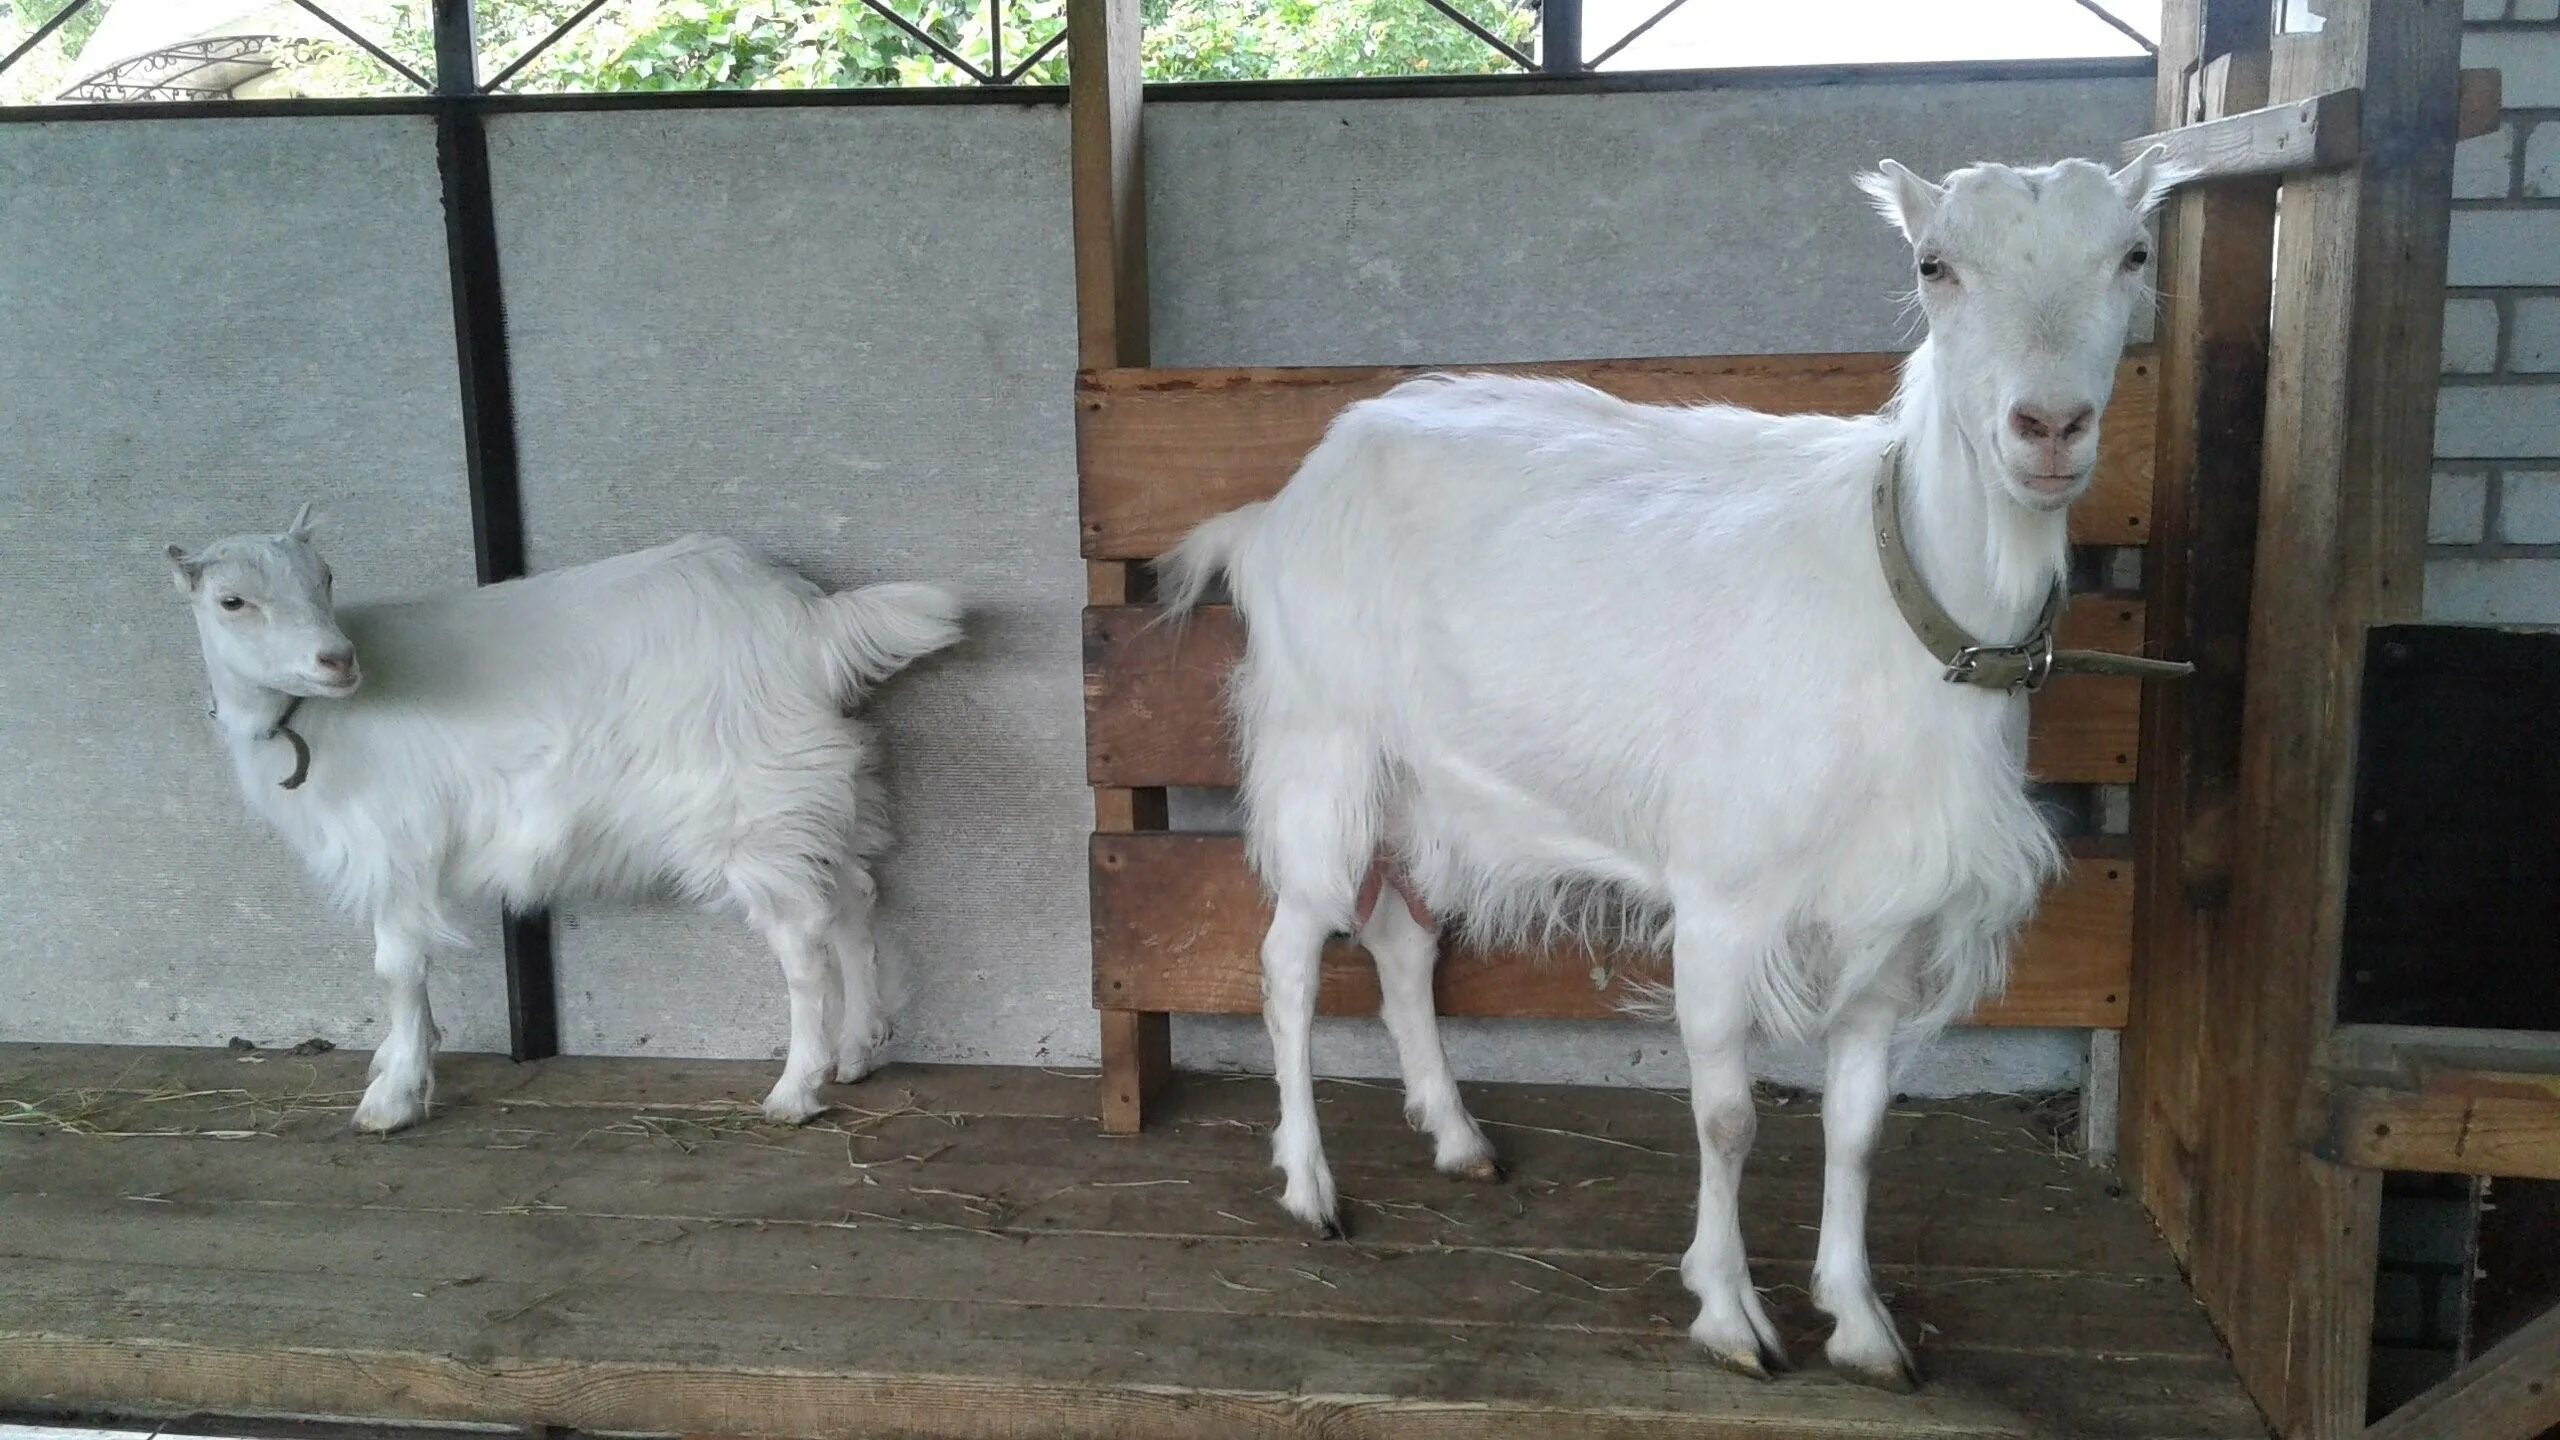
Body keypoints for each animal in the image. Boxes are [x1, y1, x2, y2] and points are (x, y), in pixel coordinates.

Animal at [162, 515, 962, 1132]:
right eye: (232, 600)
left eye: (326, 577)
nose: (336, 659)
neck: (312, 718)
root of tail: (809, 623)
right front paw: (395, 1063)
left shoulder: (394, 845)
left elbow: (397, 968)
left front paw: (393, 1097)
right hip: (819, 796)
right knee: (853, 899)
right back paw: (858, 1052)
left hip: (751, 811)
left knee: (802, 942)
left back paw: (797, 1090)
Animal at [1162, 151, 2181, 1383]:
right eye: (1933, 265)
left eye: (2132, 253)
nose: (2048, 426)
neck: (1902, 604)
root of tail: (1276, 509)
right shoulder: (1723, 899)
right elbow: (1727, 1117)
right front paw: (1732, 1317)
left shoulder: (1891, 914)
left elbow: (1858, 1126)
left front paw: (1861, 1324)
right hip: (1326, 753)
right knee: (1288, 962)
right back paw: (1311, 1189)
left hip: (1432, 786)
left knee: (1404, 943)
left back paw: (1458, 1138)